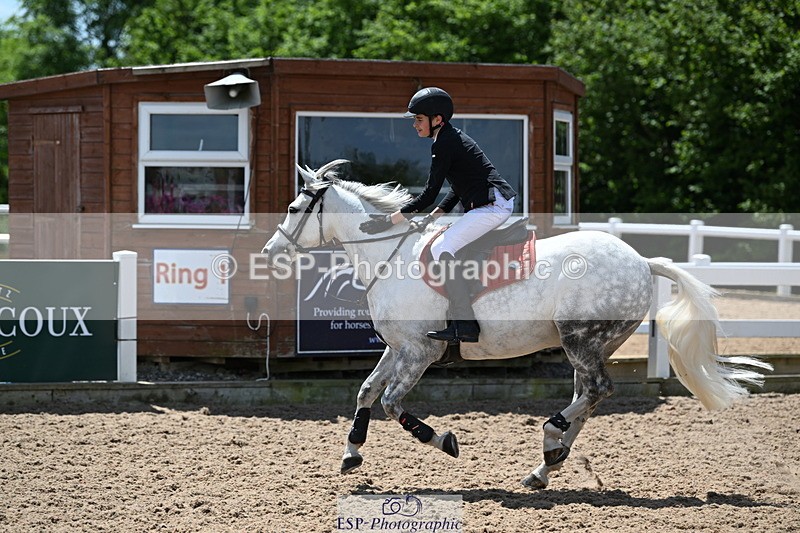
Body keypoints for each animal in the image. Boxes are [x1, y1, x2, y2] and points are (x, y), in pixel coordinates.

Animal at [261, 159, 772, 489]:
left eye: (293, 209)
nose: (270, 252)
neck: (390, 255)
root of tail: (642, 261)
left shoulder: (421, 351)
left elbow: (390, 403)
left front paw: (444, 441)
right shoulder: (398, 347)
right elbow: (366, 392)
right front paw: (351, 453)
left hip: (580, 338)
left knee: (597, 390)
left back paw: (549, 441)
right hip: (589, 344)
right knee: (588, 396)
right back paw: (547, 463)